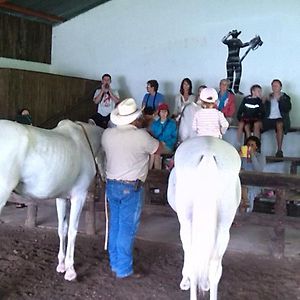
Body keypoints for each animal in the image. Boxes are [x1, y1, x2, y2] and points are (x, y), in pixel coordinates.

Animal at [0, 119, 104, 282]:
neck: (84, 142)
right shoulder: (79, 197)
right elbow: (73, 231)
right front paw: (70, 270)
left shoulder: (62, 198)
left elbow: (62, 229)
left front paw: (61, 265)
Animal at [169, 137, 241, 300]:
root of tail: (208, 153)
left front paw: (185, 281)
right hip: (224, 226)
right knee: (214, 268)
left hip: (186, 222)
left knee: (193, 259)